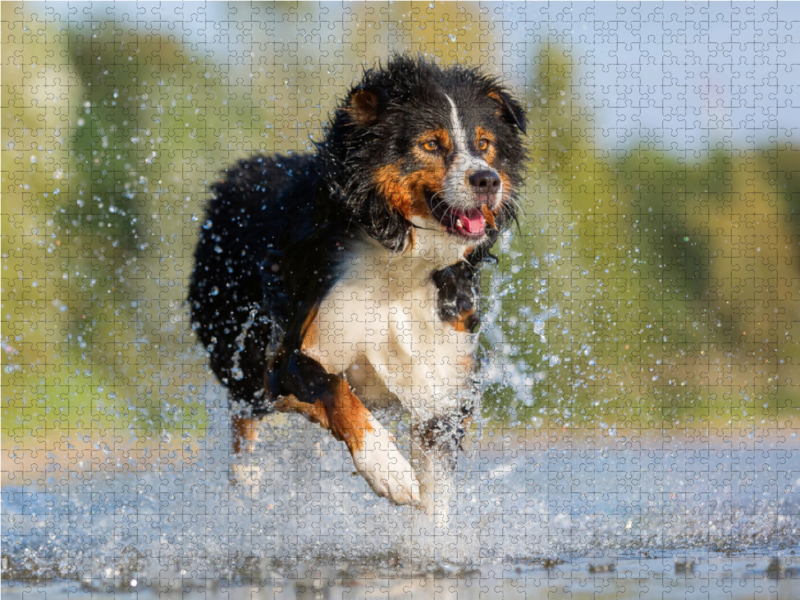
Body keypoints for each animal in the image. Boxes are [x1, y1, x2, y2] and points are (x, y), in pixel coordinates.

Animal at [188, 56, 524, 524]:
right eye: (430, 144)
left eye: (484, 144)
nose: (487, 181)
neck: (399, 264)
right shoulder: (289, 356)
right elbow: (337, 390)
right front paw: (387, 468)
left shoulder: (443, 385)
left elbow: (435, 495)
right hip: (241, 356)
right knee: (245, 429)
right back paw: (247, 489)